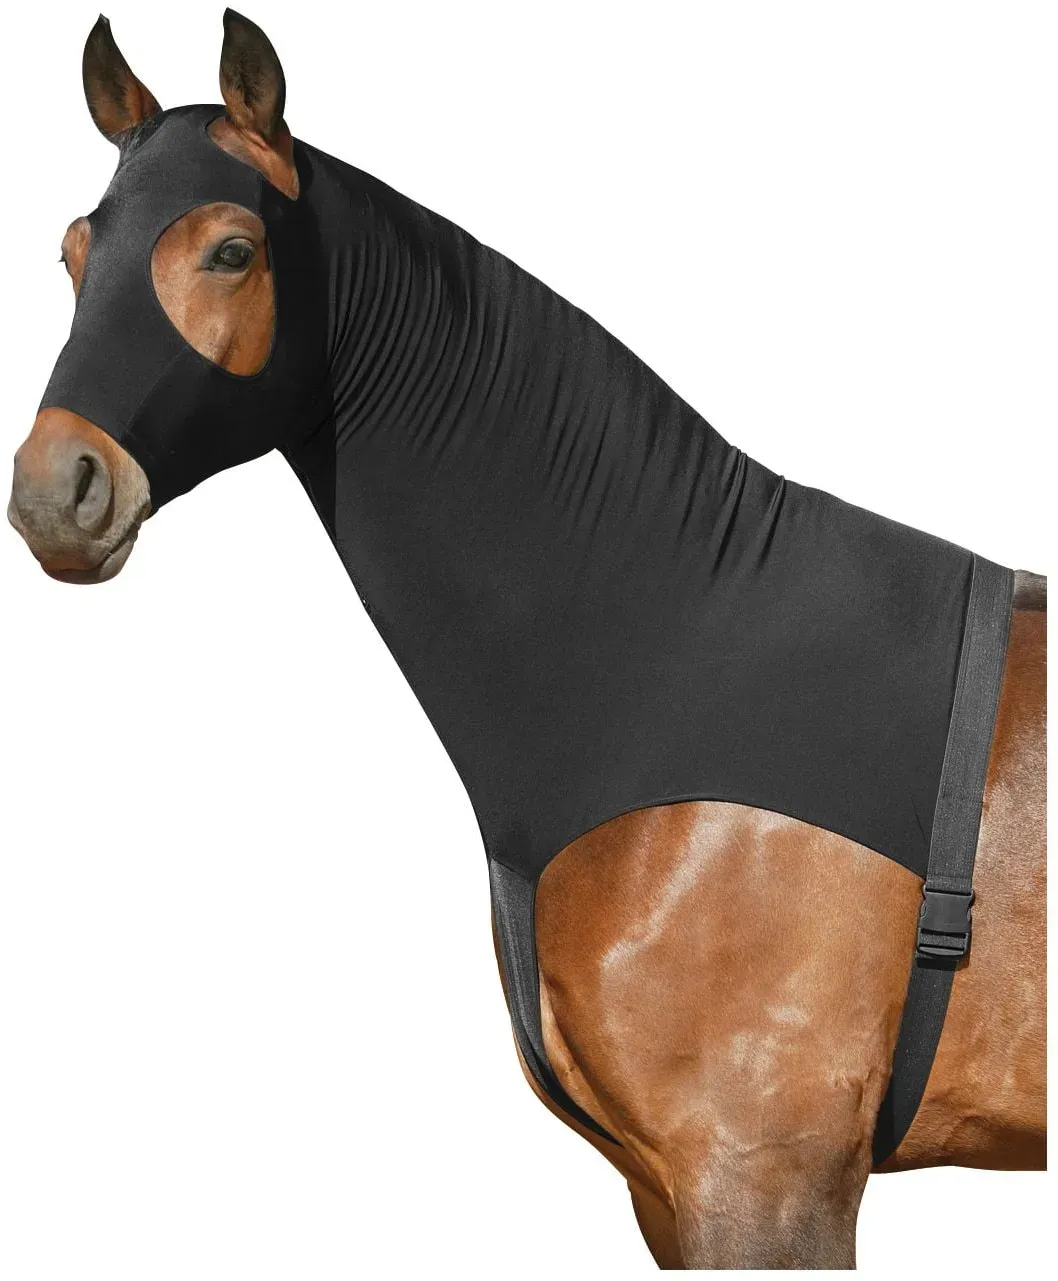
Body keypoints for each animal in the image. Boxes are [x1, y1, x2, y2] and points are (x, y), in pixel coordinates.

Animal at [7, 12, 1045, 1270]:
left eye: (231, 252)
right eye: (72, 254)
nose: (56, 491)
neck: (670, 648)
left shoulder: (764, 1181)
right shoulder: (673, 1195)